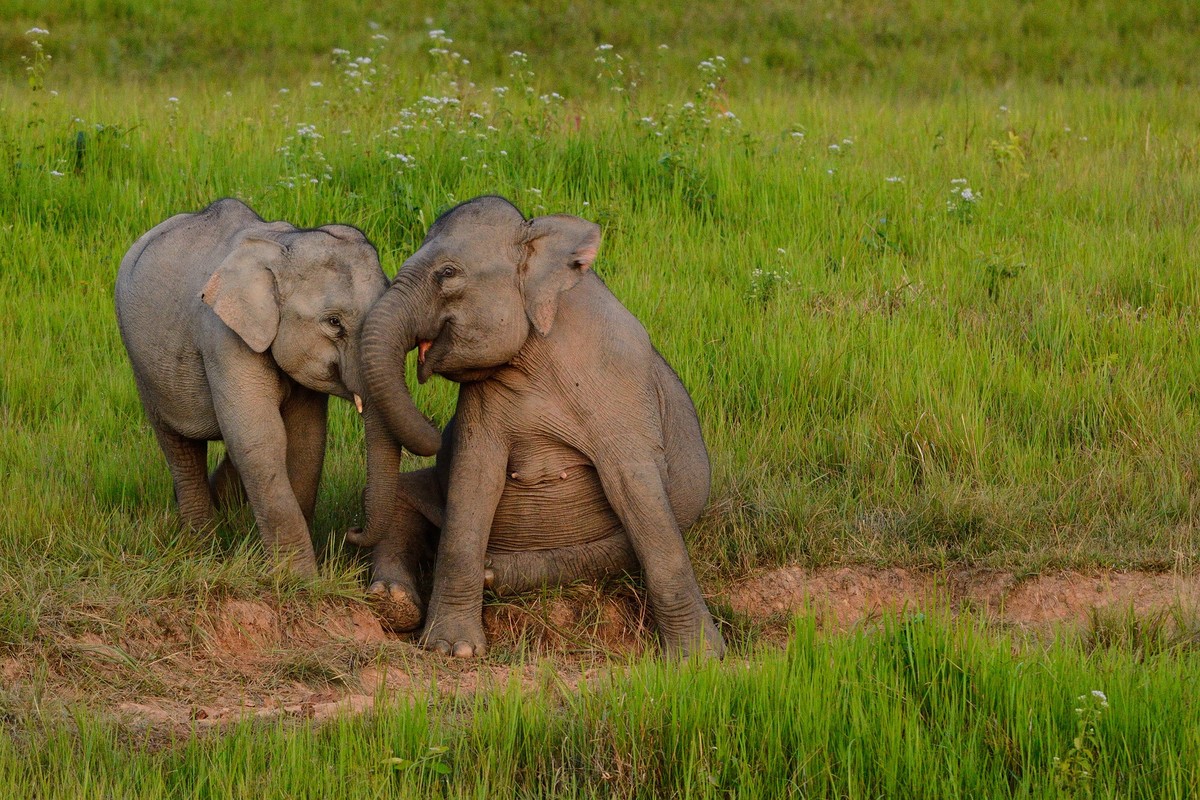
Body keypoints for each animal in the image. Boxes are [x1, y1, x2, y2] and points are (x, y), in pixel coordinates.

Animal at [111, 199, 441, 575]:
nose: (352, 530)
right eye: (333, 323)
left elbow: (305, 439)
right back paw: (201, 544)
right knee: (179, 445)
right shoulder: (222, 337)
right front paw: (300, 579)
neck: (283, 247)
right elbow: (261, 440)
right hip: (142, 364)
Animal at [348, 196, 720, 662]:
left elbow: (637, 491)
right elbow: (473, 482)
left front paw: (698, 659)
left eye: (447, 273)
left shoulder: (621, 380)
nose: (435, 430)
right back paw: (393, 601)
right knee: (400, 498)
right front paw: (454, 650)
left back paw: (493, 573)